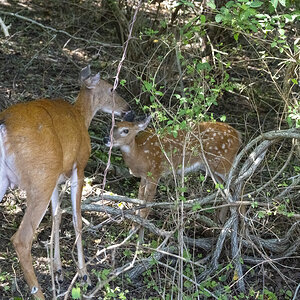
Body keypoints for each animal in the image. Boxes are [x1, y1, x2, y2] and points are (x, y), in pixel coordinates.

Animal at [0, 65, 134, 298]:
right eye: (111, 88)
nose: (128, 109)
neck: (81, 117)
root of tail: (3, 126)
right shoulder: (78, 167)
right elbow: (76, 219)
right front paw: (84, 275)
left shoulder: (56, 179)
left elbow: (57, 216)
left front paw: (59, 272)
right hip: (40, 178)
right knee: (22, 239)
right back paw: (40, 293)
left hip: (20, 179)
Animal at [105, 116, 241, 238]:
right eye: (112, 126)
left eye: (125, 130)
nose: (106, 139)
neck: (140, 155)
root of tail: (239, 136)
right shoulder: (144, 176)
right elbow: (140, 200)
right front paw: (137, 233)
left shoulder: (156, 172)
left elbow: (147, 205)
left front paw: (136, 234)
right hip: (212, 168)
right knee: (227, 189)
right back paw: (217, 227)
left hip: (223, 163)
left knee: (237, 185)